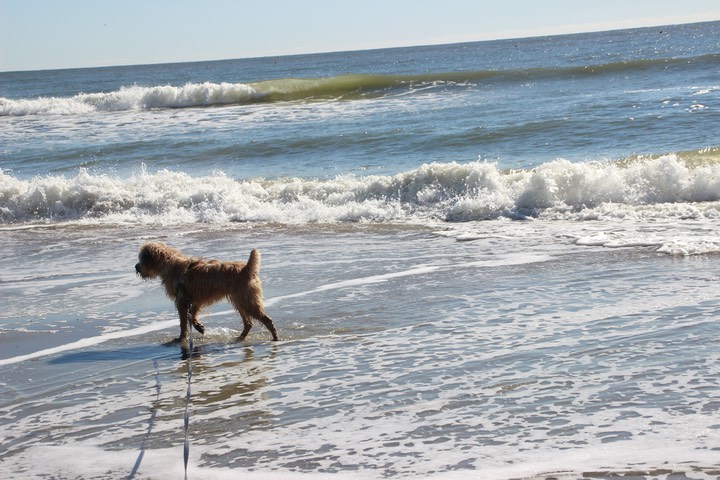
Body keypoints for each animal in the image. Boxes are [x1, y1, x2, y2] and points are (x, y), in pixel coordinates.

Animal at [135, 242, 278, 344]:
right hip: (239, 301)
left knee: (266, 320)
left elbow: (183, 322)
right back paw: (240, 337)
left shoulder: (182, 300)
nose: (136, 267)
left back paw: (275, 337)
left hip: (247, 300)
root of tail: (247, 269)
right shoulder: (195, 299)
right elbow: (192, 315)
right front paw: (199, 327)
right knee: (248, 323)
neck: (169, 264)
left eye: (141, 258)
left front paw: (181, 338)